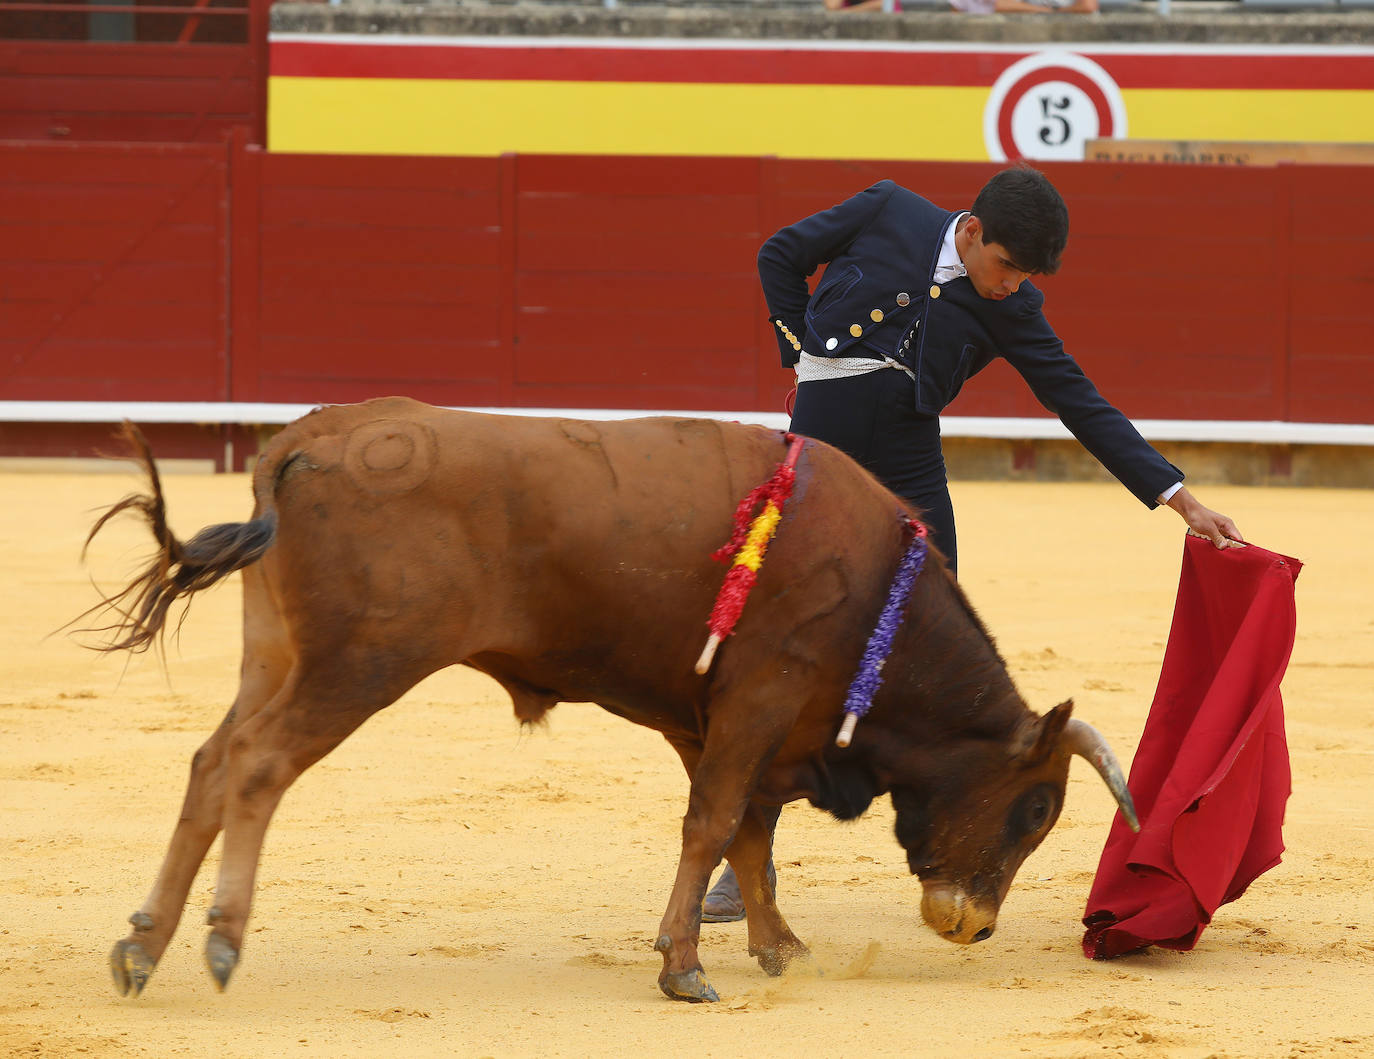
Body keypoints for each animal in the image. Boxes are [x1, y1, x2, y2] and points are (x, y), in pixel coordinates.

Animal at [88, 395, 1137, 999]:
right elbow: (715, 824)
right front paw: (684, 966)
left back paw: (143, 945)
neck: (882, 594)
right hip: (362, 663)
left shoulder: (719, 718)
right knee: (258, 765)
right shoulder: (761, 697)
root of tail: (308, 438)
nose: (975, 924)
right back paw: (221, 942)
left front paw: (777, 948)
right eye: (1036, 808)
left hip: (275, 652)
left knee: (210, 761)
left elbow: (744, 832)